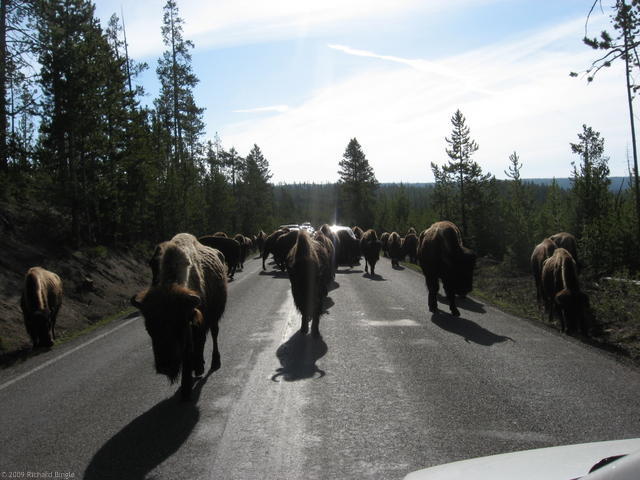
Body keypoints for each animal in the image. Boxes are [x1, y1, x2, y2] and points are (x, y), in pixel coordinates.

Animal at [131, 233, 227, 400]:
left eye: (179, 326)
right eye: (148, 329)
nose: (165, 367)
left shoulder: (194, 325)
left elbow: (192, 349)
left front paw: (187, 387)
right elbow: (189, 352)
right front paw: (189, 381)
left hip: (215, 317)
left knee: (214, 334)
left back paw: (214, 362)